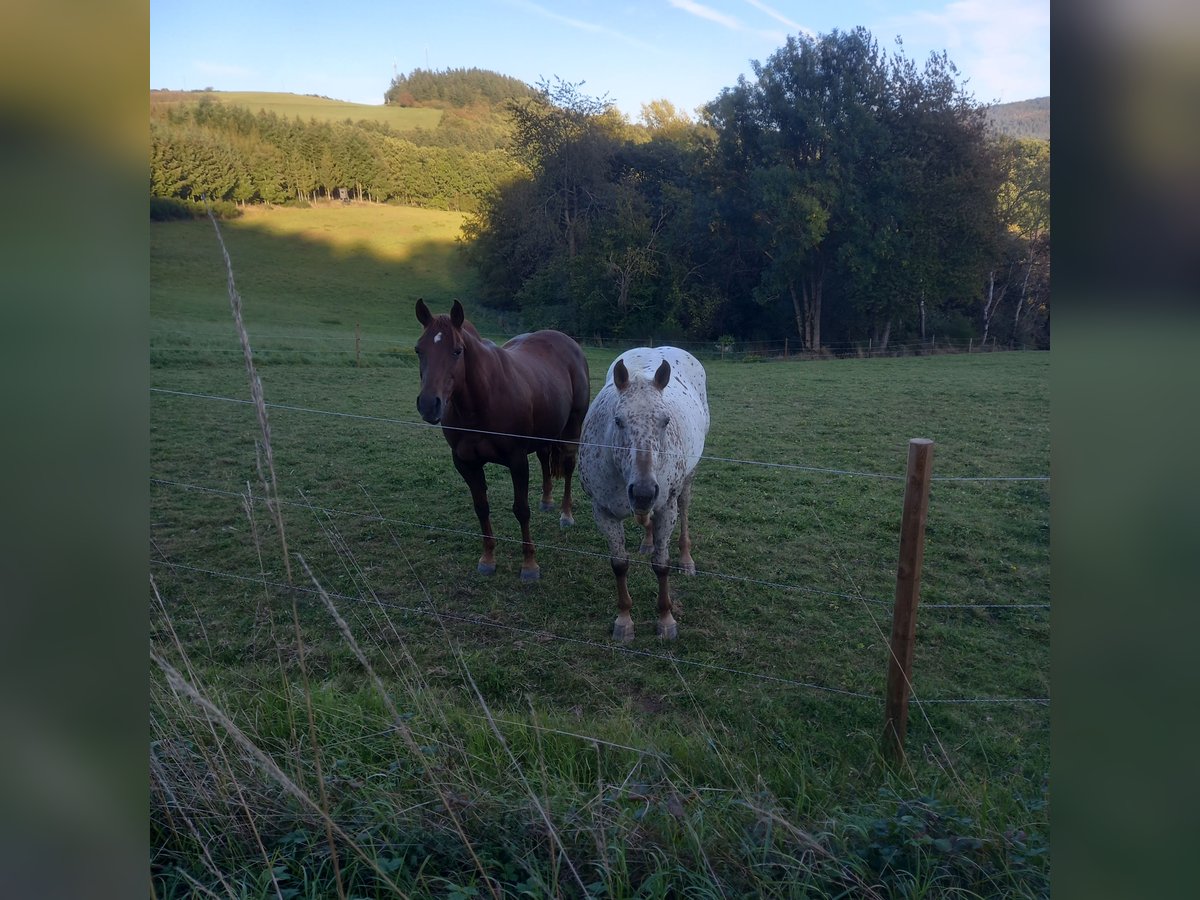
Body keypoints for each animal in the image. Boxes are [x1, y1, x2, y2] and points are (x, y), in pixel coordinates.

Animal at [415, 300, 592, 580]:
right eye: (418, 350)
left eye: (457, 351)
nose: (428, 405)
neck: (481, 400)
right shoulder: (466, 464)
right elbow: (481, 507)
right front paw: (487, 558)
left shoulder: (517, 461)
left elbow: (521, 510)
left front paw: (529, 565)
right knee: (544, 459)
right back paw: (546, 501)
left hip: (571, 430)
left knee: (568, 465)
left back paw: (566, 514)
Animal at [576, 348, 705, 643]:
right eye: (618, 420)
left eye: (665, 421)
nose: (644, 491)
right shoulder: (603, 512)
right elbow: (619, 564)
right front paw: (624, 621)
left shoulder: (666, 508)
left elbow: (661, 564)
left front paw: (666, 620)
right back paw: (646, 540)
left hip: (686, 482)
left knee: (685, 508)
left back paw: (686, 560)